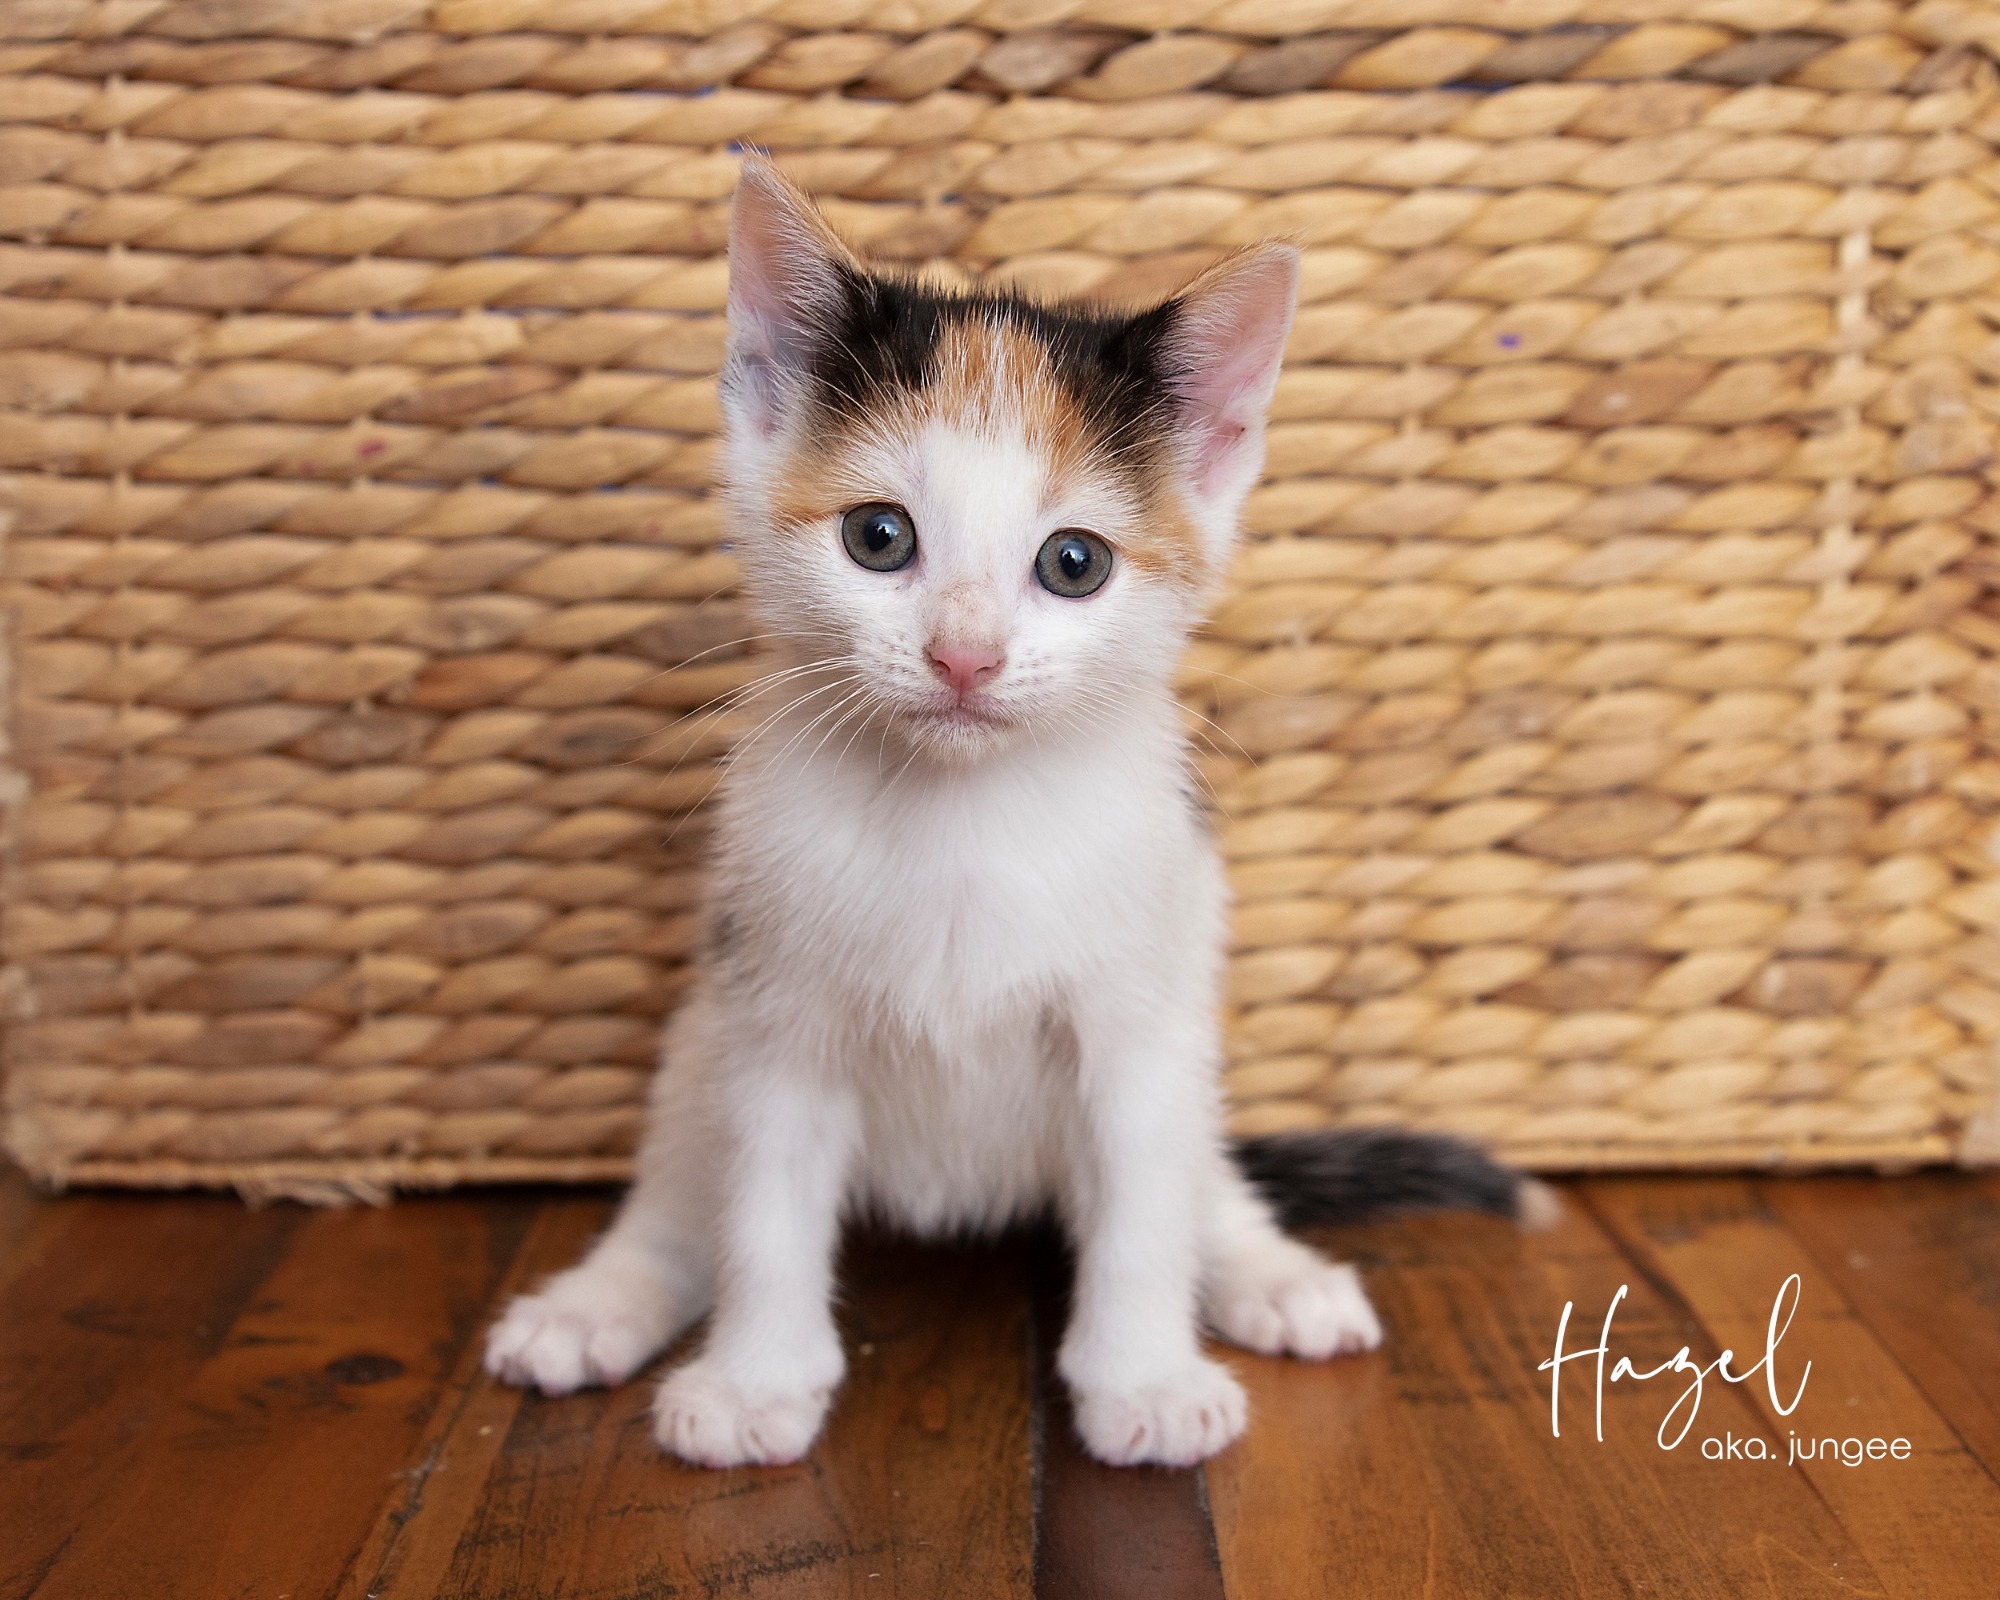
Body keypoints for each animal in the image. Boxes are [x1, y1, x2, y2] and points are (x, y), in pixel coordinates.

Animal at [484, 160, 1552, 1469]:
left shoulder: (1136, 1020)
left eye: (1073, 562)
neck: (964, 821)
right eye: (877, 536)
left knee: (1198, 1174)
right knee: (687, 1181)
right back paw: (603, 1299)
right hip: (704, 1030)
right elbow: (764, 1210)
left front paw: (1143, 1378)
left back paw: (1267, 1271)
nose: (964, 656)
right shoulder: (775, 1014)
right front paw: (753, 1380)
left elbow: (1142, 1208)